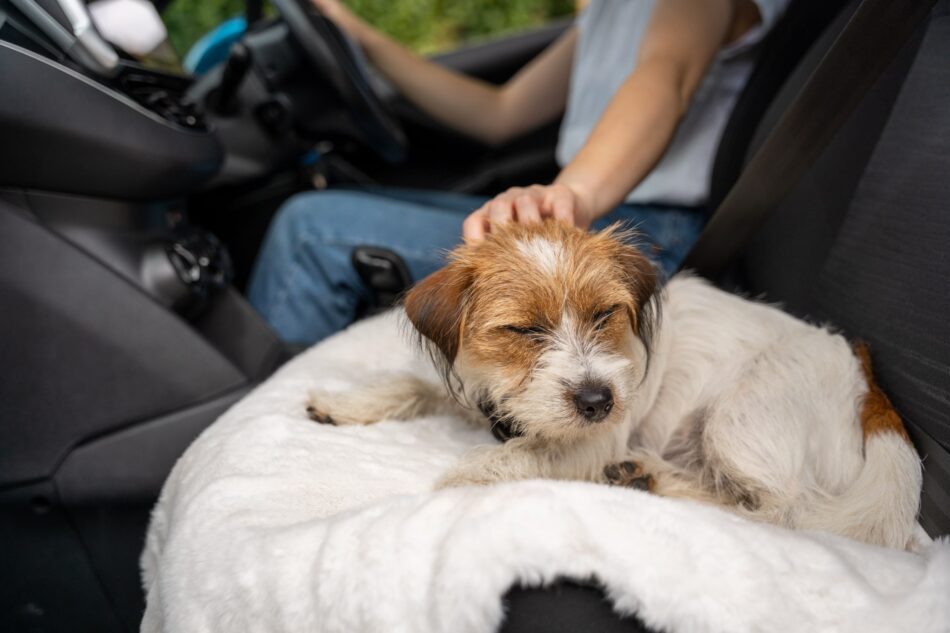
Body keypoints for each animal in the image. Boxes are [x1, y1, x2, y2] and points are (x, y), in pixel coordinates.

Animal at [308, 221, 924, 548]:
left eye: (605, 314)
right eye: (524, 330)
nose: (598, 401)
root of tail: (860, 369)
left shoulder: (591, 442)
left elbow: (499, 462)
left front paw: (442, 488)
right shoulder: (474, 384)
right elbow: (409, 384)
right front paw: (345, 402)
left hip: (740, 419)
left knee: (786, 512)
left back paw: (654, 481)